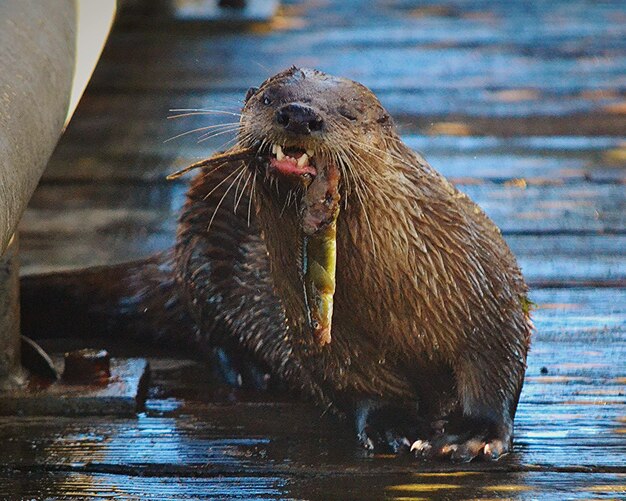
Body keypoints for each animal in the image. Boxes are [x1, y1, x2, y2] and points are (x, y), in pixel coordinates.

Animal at [23, 66, 532, 460]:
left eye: (347, 112)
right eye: (270, 98)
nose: (300, 114)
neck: (399, 299)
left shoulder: (490, 293)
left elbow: (496, 367)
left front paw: (473, 434)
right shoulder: (324, 338)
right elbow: (357, 385)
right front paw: (395, 425)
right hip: (198, 250)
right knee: (208, 326)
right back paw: (248, 370)